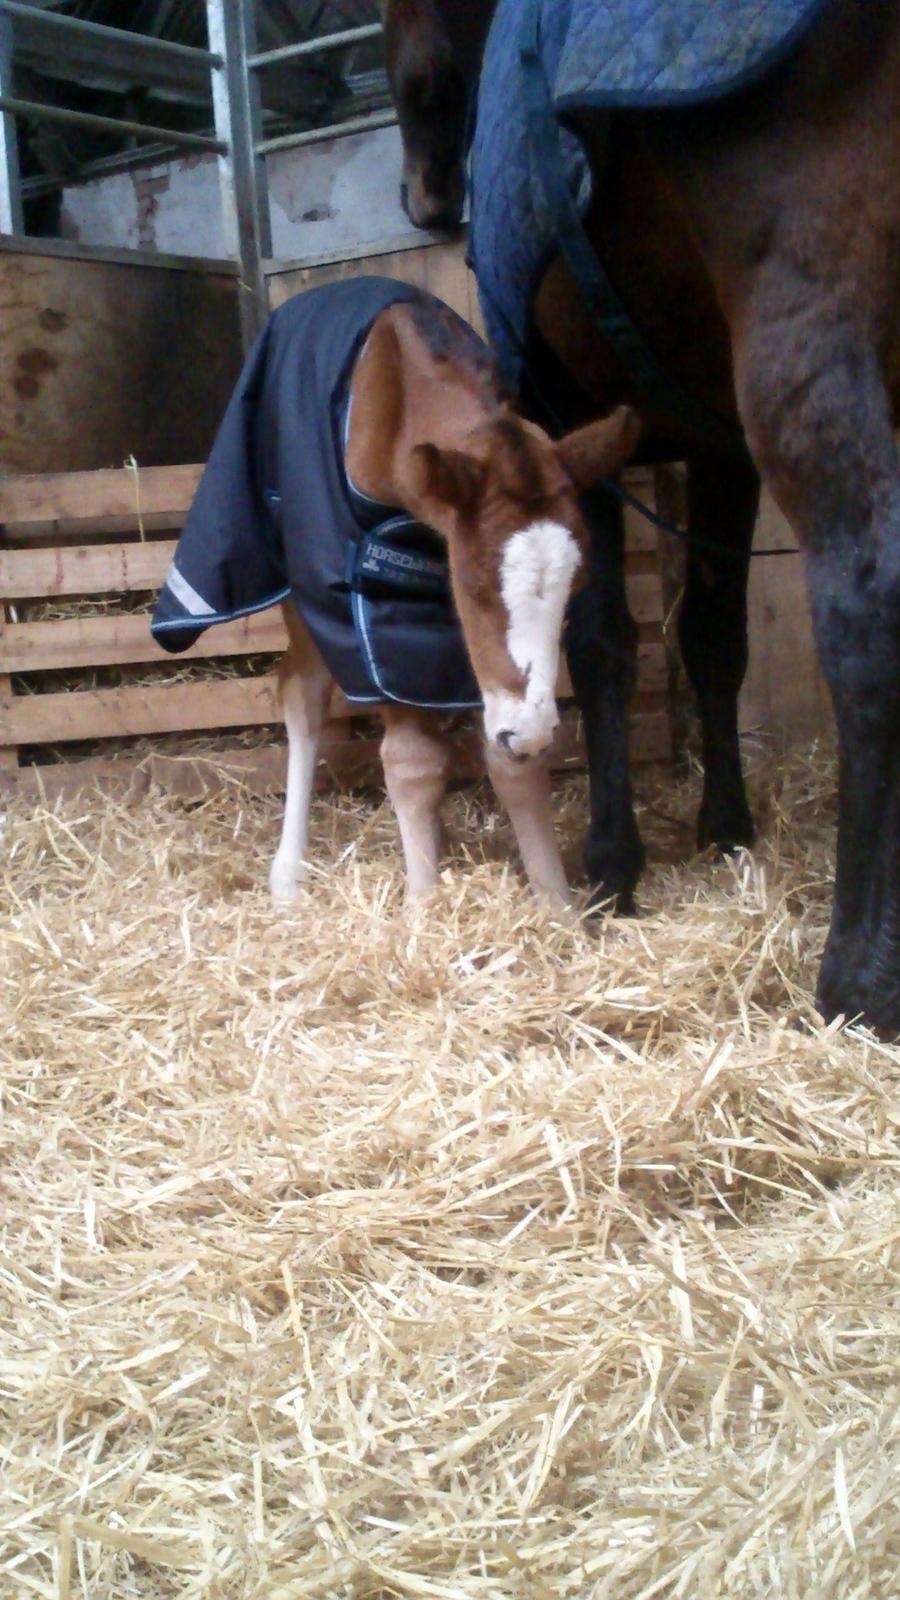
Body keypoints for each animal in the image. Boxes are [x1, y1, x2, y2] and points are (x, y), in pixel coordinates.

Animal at [385, 0, 900, 1030]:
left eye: (410, 61)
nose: (423, 198)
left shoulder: (565, 423)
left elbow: (600, 644)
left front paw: (612, 868)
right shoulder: (718, 450)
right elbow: (710, 638)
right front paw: (727, 829)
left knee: (868, 606)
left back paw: (861, 973)